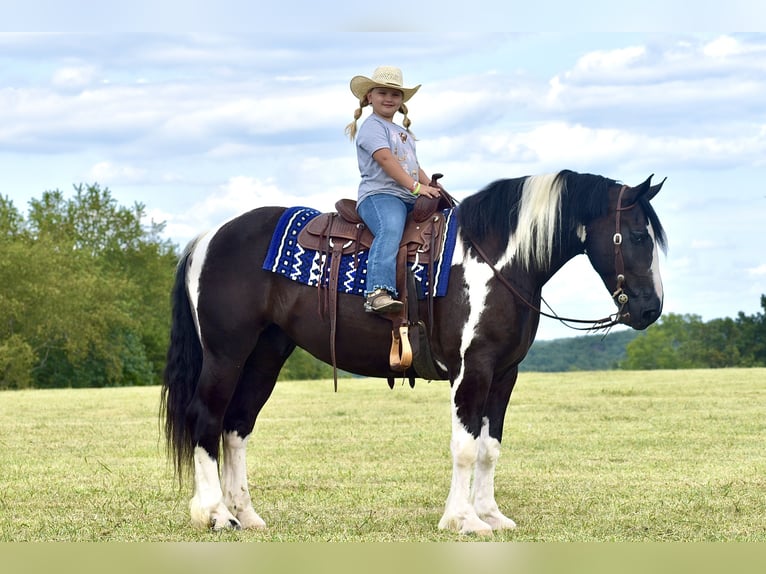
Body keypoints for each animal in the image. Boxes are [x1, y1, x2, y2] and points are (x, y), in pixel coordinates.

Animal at [160, 169, 664, 536]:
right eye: (638, 236)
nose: (650, 309)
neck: (495, 260)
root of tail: (209, 238)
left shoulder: (505, 373)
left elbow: (490, 448)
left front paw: (491, 514)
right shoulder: (472, 370)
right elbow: (465, 448)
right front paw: (463, 520)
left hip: (264, 356)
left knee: (236, 427)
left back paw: (245, 514)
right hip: (226, 354)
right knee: (207, 419)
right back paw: (215, 513)